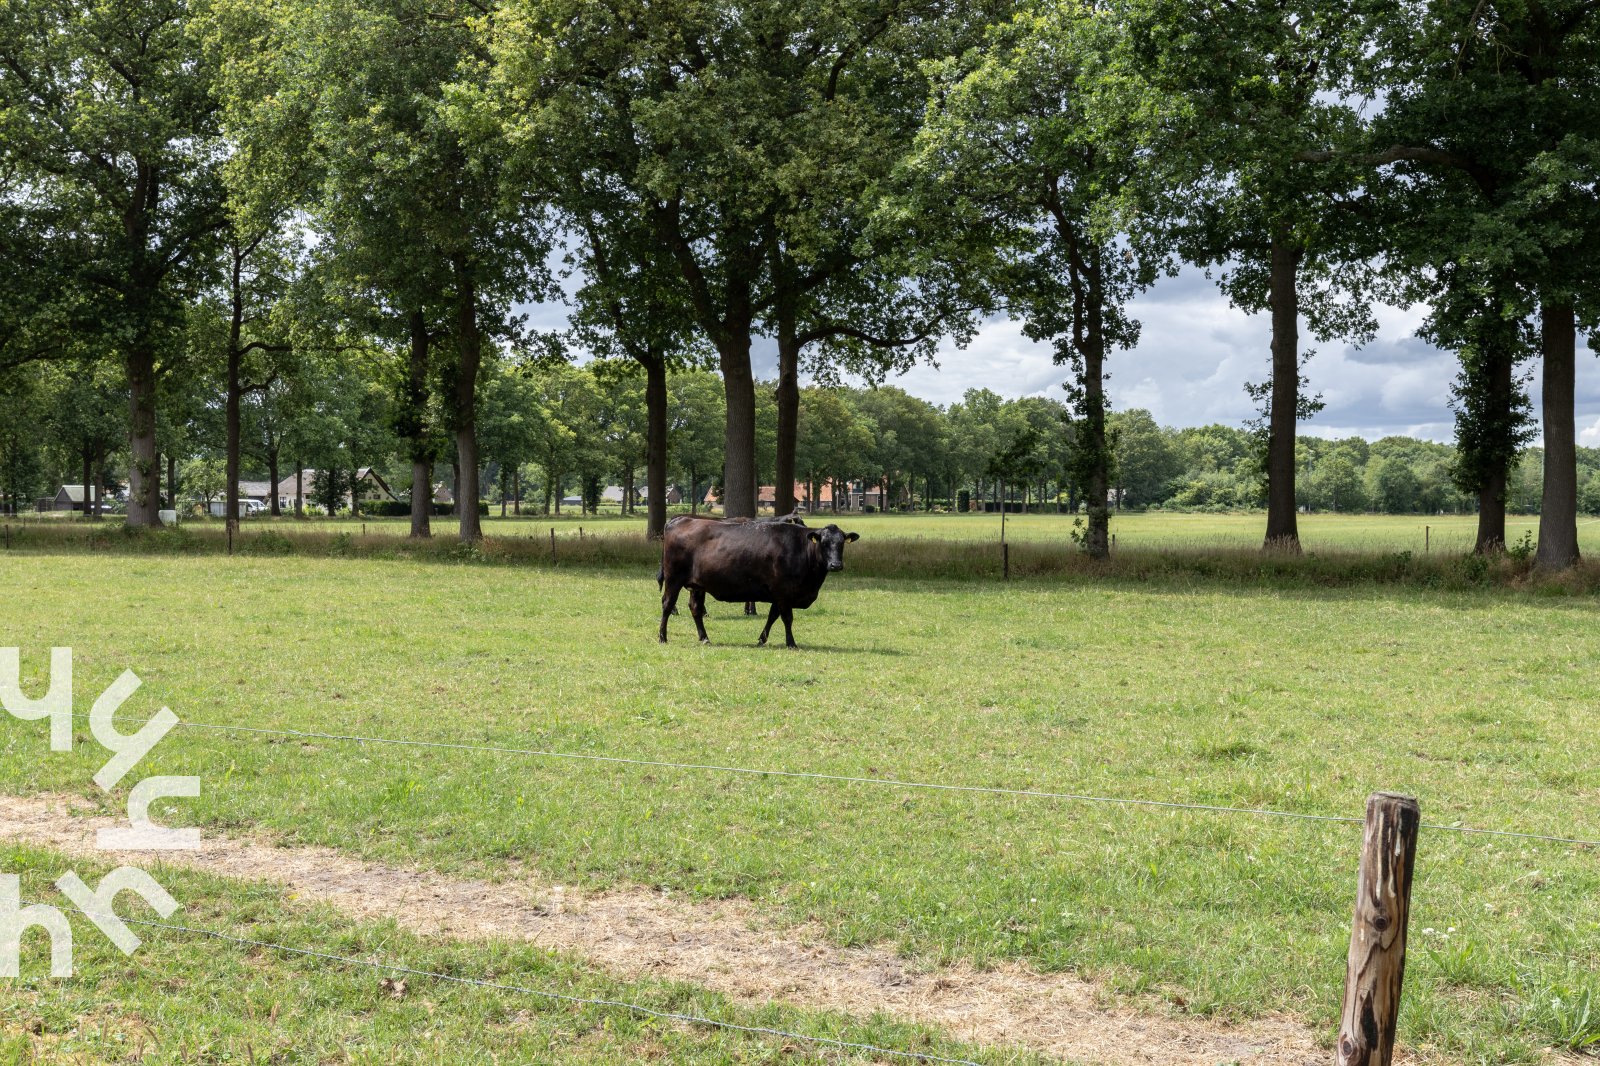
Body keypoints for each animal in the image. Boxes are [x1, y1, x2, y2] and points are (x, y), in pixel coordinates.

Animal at [656, 515, 857, 643]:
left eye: (841, 543)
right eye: (824, 542)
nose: (836, 565)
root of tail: (680, 519)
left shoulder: (778, 594)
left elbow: (773, 616)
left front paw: (762, 639)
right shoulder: (783, 592)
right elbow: (787, 618)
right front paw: (791, 642)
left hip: (697, 585)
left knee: (696, 608)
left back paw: (704, 638)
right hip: (673, 579)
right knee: (667, 604)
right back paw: (663, 637)